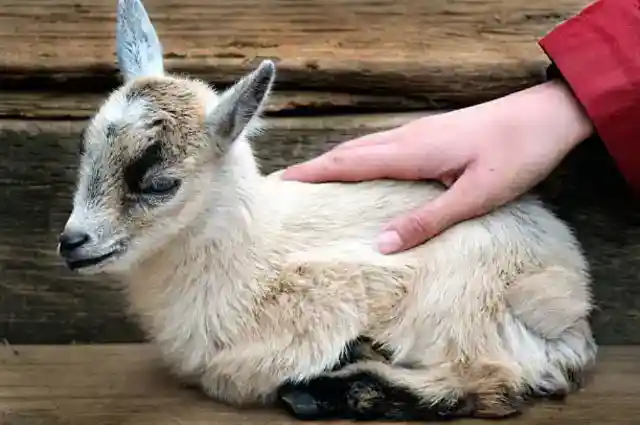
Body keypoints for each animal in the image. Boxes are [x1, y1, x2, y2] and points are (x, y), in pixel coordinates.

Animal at [57, 0, 597, 421]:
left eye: (160, 184)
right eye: (85, 151)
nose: (71, 242)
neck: (248, 255)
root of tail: (570, 304)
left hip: (457, 300)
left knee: (490, 381)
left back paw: (341, 389)